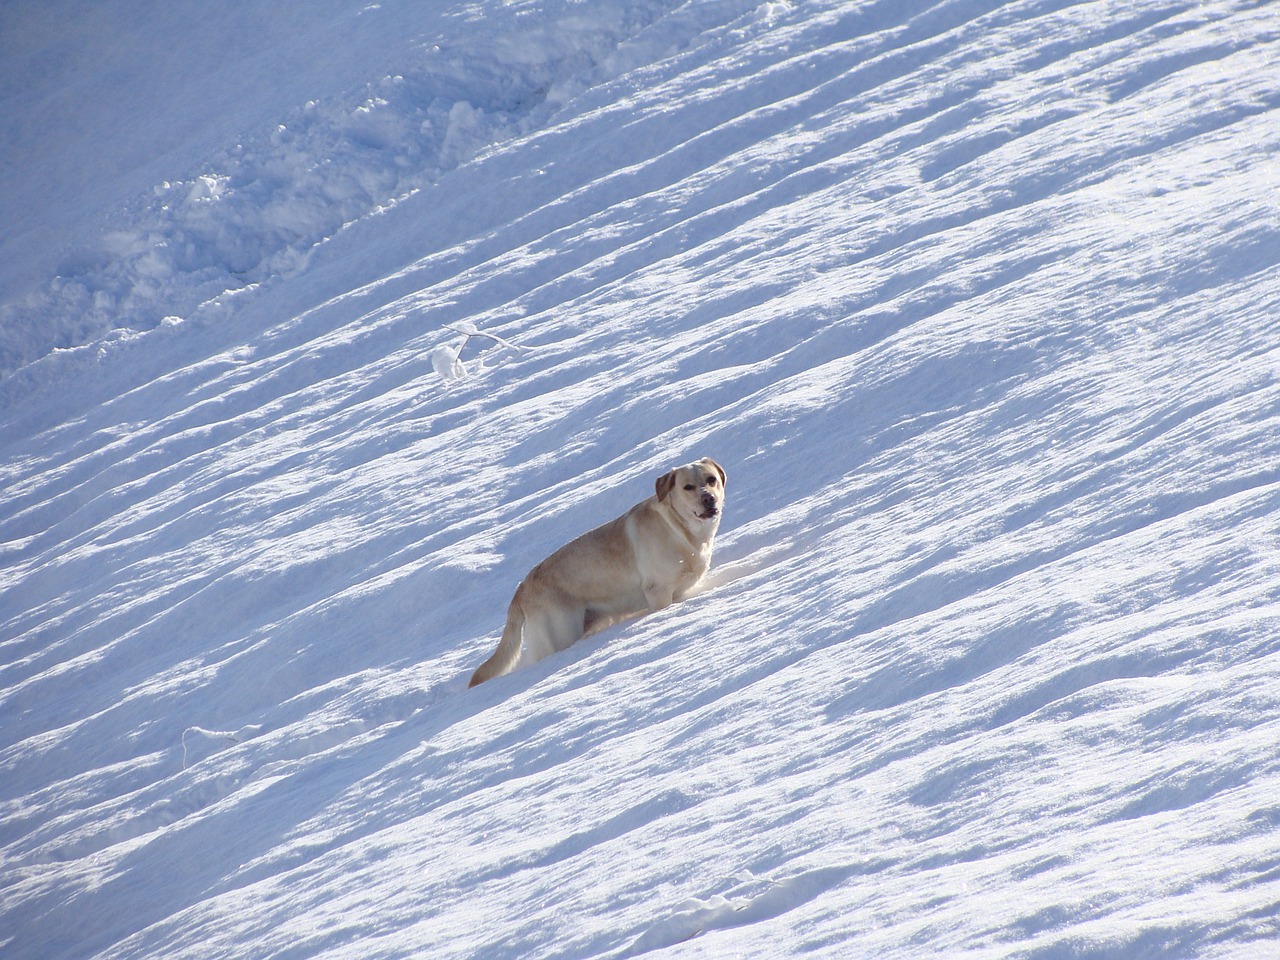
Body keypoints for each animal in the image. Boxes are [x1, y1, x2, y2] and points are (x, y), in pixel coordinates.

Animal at [471, 455, 732, 686]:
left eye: (711, 480)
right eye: (688, 487)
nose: (708, 499)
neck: (680, 530)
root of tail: (521, 588)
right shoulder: (658, 593)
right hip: (560, 635)